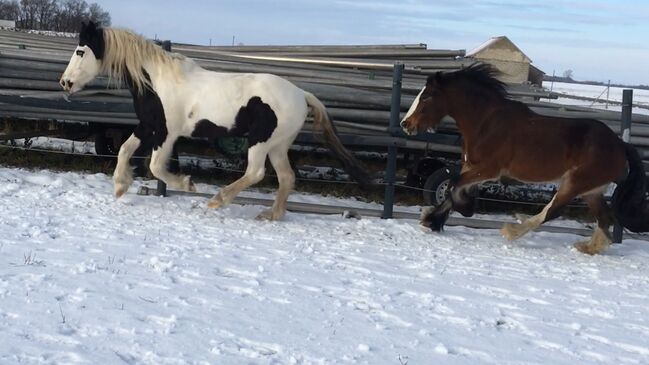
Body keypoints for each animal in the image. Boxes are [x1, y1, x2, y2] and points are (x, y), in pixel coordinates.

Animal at [60, 22, 368, 220]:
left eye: (80, 51)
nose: (65, 83)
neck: (157, 81)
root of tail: (302, 94)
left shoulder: (167, 133)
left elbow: (156, 167)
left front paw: (187, 185)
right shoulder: (148, 126)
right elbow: (124, 150)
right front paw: (120, 187)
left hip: (260, 141)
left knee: (256, 172)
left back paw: (217, 200)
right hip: (278, 146)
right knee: (286, 177)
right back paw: (271, 215)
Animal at [400, 64, 648, 253]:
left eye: (426, 96)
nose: (405, 124)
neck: (486, 123)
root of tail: (620, 144)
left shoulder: (488, 169)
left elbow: (453, 185)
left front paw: (458, 211)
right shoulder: (471, 167)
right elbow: (454, 187)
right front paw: (433, 220)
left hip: (575, 183)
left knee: (553, 211)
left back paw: (513, 229)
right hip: (591, 190)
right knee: (604, 220)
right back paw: (587, 247)